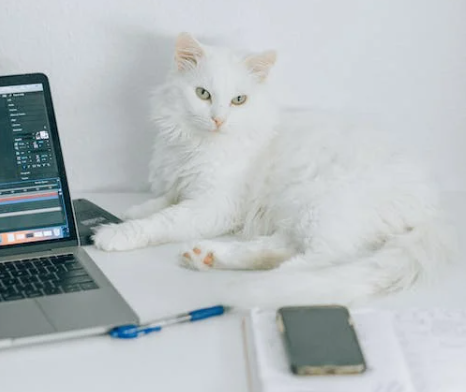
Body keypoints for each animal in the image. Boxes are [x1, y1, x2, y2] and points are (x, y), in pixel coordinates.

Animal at [93, 33, 454, 306]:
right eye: (203, 94)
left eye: (239, 100)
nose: (218, 119)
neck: (197, 144)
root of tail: (435, 206)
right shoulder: (182, 183)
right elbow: (163, 201)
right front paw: (131, 211)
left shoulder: (214, 205)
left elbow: (164, 220)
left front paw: (115, 233)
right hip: (299, 213)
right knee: (281, 248)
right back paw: (206, 256)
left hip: (321, 204)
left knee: (323, 259)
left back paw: (254, 282)